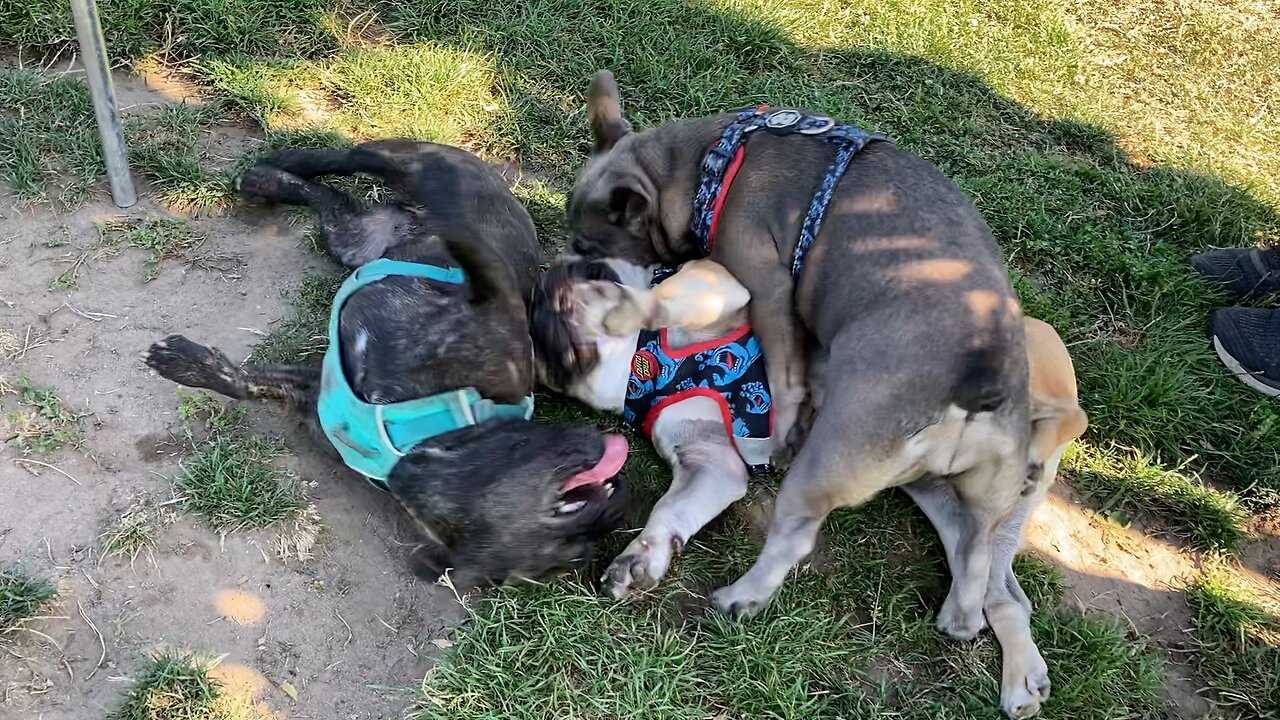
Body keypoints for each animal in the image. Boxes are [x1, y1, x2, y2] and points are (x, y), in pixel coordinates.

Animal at [142, 137, 627, 586]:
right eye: (570, 506)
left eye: (576, 546)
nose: (618, 497)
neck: (416, 438)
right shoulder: (505, 338)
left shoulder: (314, 392)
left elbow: (253, 383)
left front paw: (189, 364)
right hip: (417, 165)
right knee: (348, 158)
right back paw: (281, 164)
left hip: (352, 238)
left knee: (334, 199)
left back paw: (268, 179)